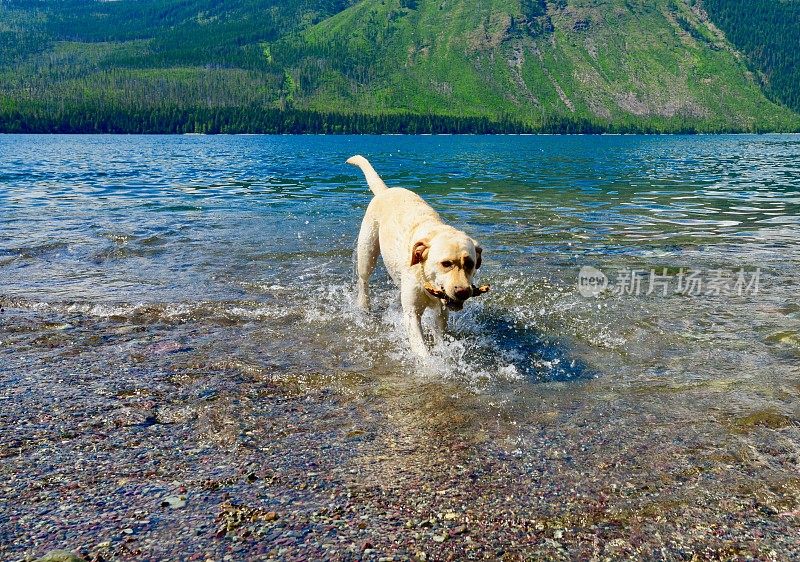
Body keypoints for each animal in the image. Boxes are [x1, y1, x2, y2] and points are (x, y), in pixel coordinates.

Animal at [348, 153, 484, 354]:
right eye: (446, 263)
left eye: (470, 264)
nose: (463, 292)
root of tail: (385, 191)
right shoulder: (412, 313)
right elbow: (421, 349)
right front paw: (430, 362)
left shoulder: (441, 311)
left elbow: (440, 335)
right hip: (367, 252)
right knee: (363, 280)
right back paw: (363, 306)